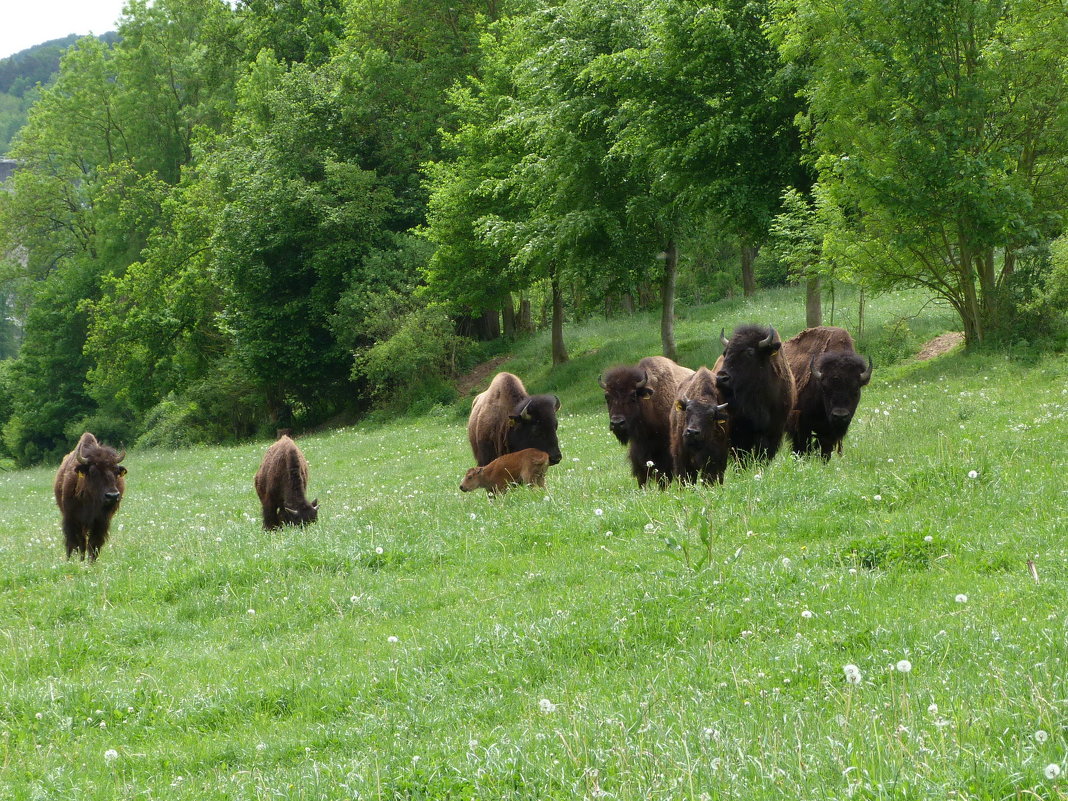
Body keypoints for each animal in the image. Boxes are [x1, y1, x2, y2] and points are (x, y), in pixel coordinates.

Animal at [54, 433, 127, 563]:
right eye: (93, 471)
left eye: (116, 470)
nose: (112, 496)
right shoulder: (71, 519)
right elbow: (73, 543)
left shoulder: (101, 521)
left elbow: (94, 543)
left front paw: (91, 562)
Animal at [781, 326, 871, 461]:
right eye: (825, 389)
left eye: (855, 390)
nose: (840, 416)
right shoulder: (801, 426)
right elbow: (802, 448)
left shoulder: (828, 432)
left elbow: (825, 452)